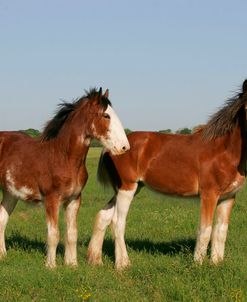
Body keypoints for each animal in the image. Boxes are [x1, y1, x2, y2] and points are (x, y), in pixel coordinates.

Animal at [0, 88, 130, 268]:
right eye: (106, 116)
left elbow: (71, 233)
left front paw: (72, 264)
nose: (125, 147)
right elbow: (54, 234)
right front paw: (51, 266)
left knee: (2, 219)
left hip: (10, 194)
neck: (63, 157)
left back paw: (2, 255)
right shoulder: (51, 199)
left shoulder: (74, 199)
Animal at [88, 79, 247, 268]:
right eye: (246, 107)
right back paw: (122, 264)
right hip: (127, 188)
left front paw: (216, 263)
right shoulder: (209, 195)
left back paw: (95, 260)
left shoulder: (228, 197)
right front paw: (198, 264)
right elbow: (205, 230)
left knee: (103, 216)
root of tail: (114, 147)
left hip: (126, 189)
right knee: (117, 222)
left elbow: (221, 231)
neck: (223, 151)